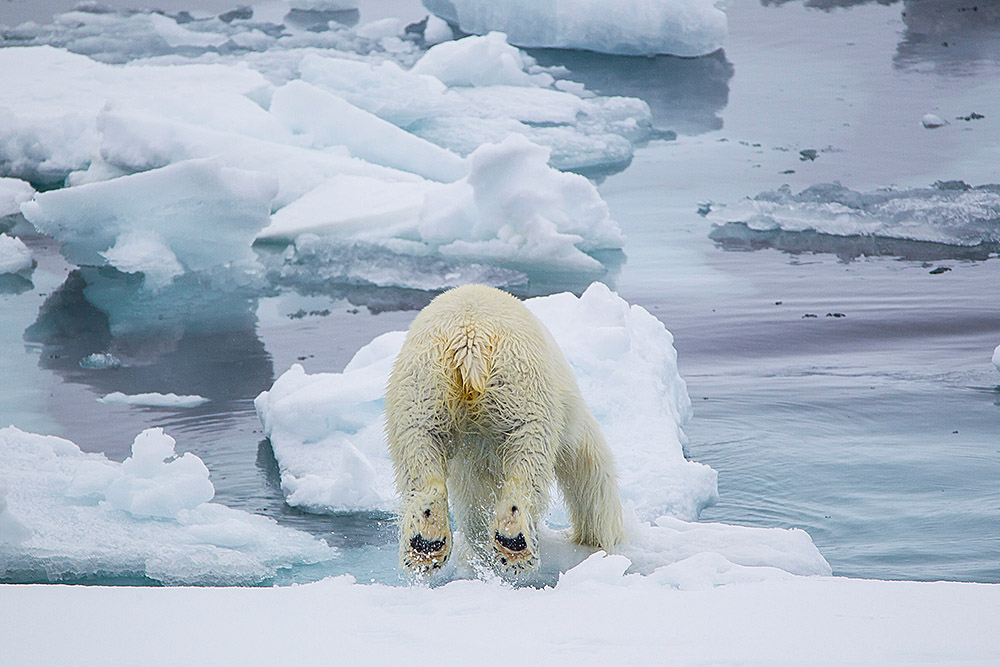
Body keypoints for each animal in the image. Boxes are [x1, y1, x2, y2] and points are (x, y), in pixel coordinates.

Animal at [386, 284, 620, 576]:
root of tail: (470, 340)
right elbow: (590, 468)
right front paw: (600, 539)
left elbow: (472, 503)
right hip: (522, 386)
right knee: (528, 456)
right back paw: (515, 541)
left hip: (422, 388)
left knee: (419, 449)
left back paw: (425, 543)